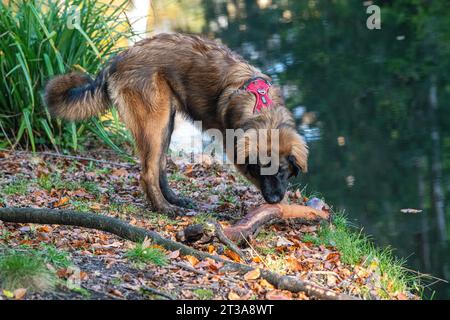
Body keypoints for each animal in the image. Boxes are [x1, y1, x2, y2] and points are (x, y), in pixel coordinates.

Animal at [45, 33, 308, 215]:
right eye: (260, 169)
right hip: (155, 121)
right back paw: (164, 208)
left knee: (160, 165)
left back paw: (173, 200)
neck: (262, 109)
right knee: (148, 172)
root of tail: (119, 58)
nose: (272, 199)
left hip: (166, 122)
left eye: (282, 171)